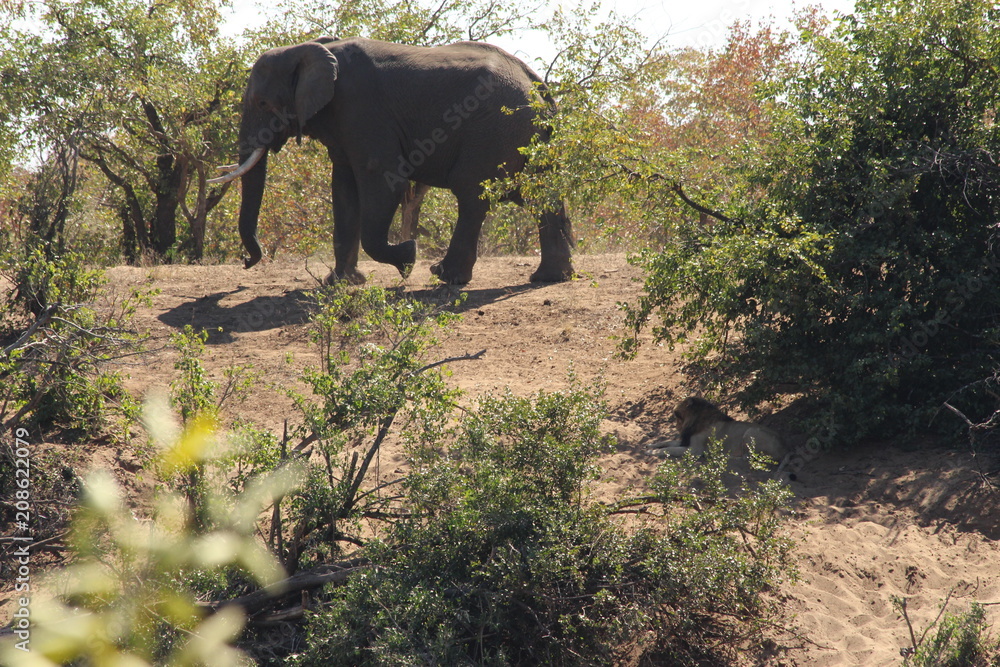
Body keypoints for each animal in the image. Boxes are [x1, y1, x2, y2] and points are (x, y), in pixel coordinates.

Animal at [211, 36, 575, 285]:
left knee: (472, 194)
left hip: (495, 129)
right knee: (540, 195)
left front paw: (408, 259)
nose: (246, 262)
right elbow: (344, 190)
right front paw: (341, 283)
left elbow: (383, 181)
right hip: (529, 137)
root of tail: (538, 86)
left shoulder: (363, 109)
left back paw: (444, 276)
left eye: (262, 103)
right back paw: (549, 278)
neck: (309, 47)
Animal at [646, 397, 788, 469]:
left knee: (747, 458)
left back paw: (721, 456)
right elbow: (666, 442)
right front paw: (650, 445)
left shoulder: (695, 450)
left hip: (750, 432)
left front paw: (652, 452)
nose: (676, 426)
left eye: (676, 416)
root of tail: (785, 449)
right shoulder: (685, 441)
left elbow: (669, 449)